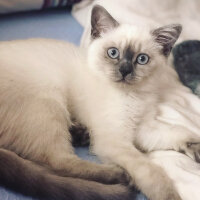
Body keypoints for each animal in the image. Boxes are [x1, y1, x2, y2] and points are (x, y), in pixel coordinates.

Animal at [0, 3, 198, 200]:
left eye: (142, 59)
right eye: (113, 53)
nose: (125, 71)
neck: (133, 96)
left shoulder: (143, 129)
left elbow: (177, 132)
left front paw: (195, 148)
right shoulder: (115, 140)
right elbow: (152, 172)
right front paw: (169, 195)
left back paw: (81, 135)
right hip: (49, 103)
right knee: (57, 162)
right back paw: (119, 175)